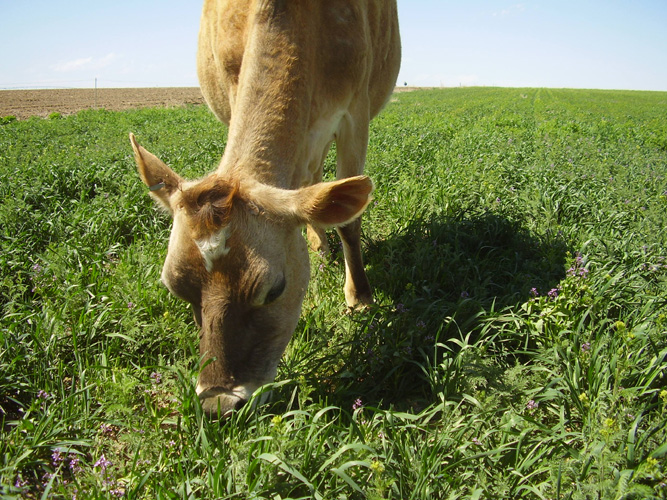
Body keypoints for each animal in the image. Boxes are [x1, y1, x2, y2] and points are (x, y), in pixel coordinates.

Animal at [129, 0, 401, 416]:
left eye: (274, 290)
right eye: (176, 288)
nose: (218, 403)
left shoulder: (355, 112)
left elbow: (348, 223)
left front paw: (360, 299)